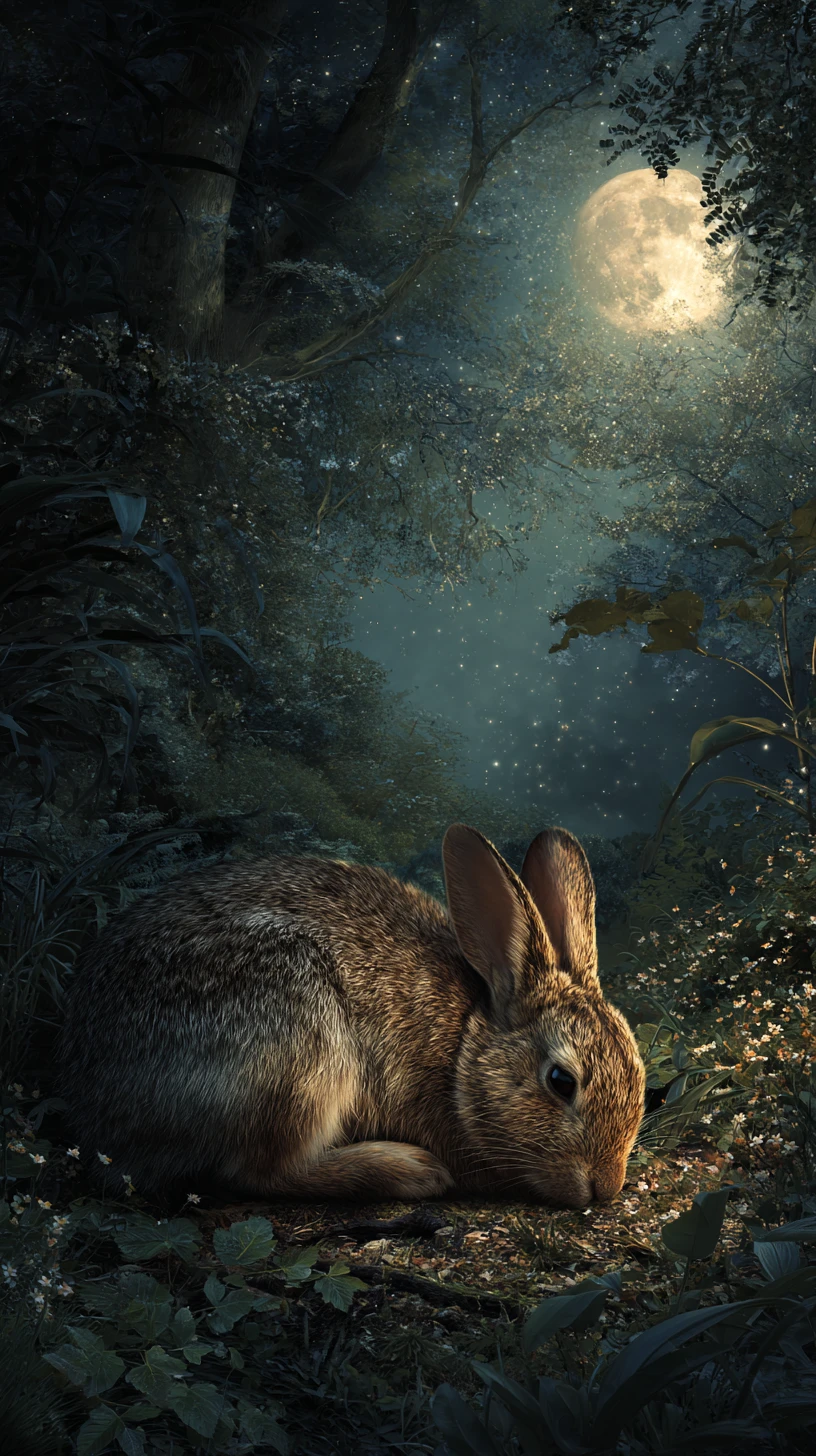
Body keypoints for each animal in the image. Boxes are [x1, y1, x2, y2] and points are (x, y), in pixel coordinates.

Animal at [59, 824, 645, 1207]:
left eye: (640, 1076)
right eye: (561, 1081)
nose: (605, 1186)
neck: (464, 1049)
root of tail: (90, 1105)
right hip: (298, 1045)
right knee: (259, 1172)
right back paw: (410, 1171)